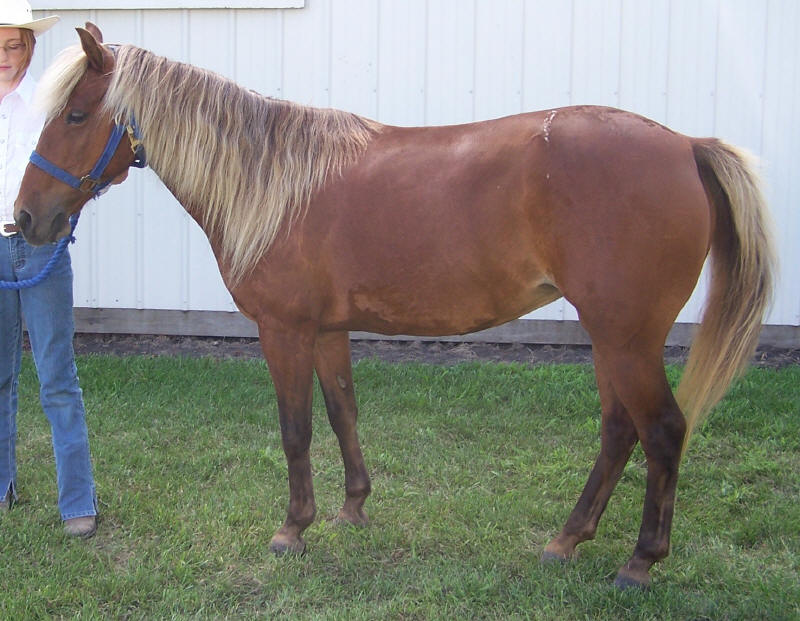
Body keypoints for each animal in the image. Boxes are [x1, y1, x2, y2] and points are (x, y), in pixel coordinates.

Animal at [14, 23, 776, 588]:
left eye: (76, 114)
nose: (26, 219)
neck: (275, 181)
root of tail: (686, 146)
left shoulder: (284, 330)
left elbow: (295, 429)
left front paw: (292, 528)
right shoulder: (329, 330)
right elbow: (343, 412)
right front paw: (352, 509)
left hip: (627, 337)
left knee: (663, 430)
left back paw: (640, 562)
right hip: (611, 338)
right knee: (620, 431)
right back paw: (565, 540)